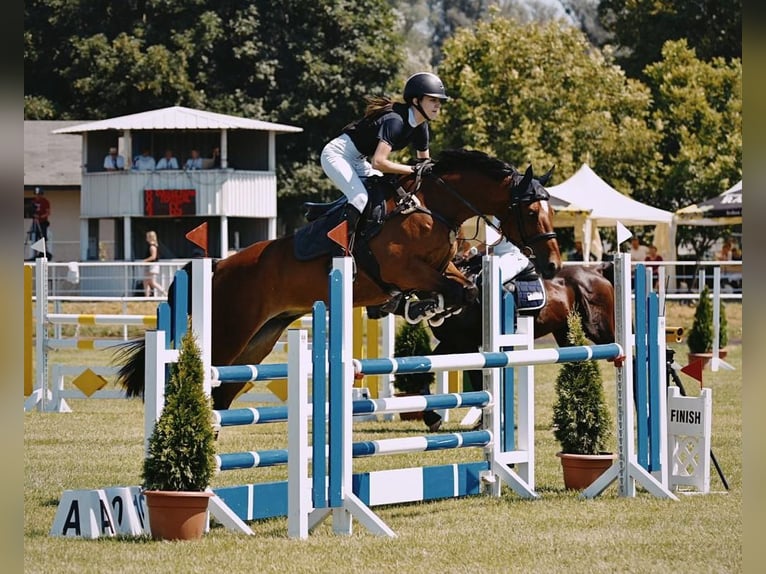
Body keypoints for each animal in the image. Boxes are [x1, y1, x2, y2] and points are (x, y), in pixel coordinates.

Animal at [115, 148, 564, 410]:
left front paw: (430, 307)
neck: (431, 206)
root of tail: (219, 268)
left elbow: (464, 286)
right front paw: (423, 305)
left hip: (260, 340)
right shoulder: (403, 269)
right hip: (228, 335)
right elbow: (454, 288)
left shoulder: (441, 267)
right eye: (531, 211)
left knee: (221, 396)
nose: (553, 266)